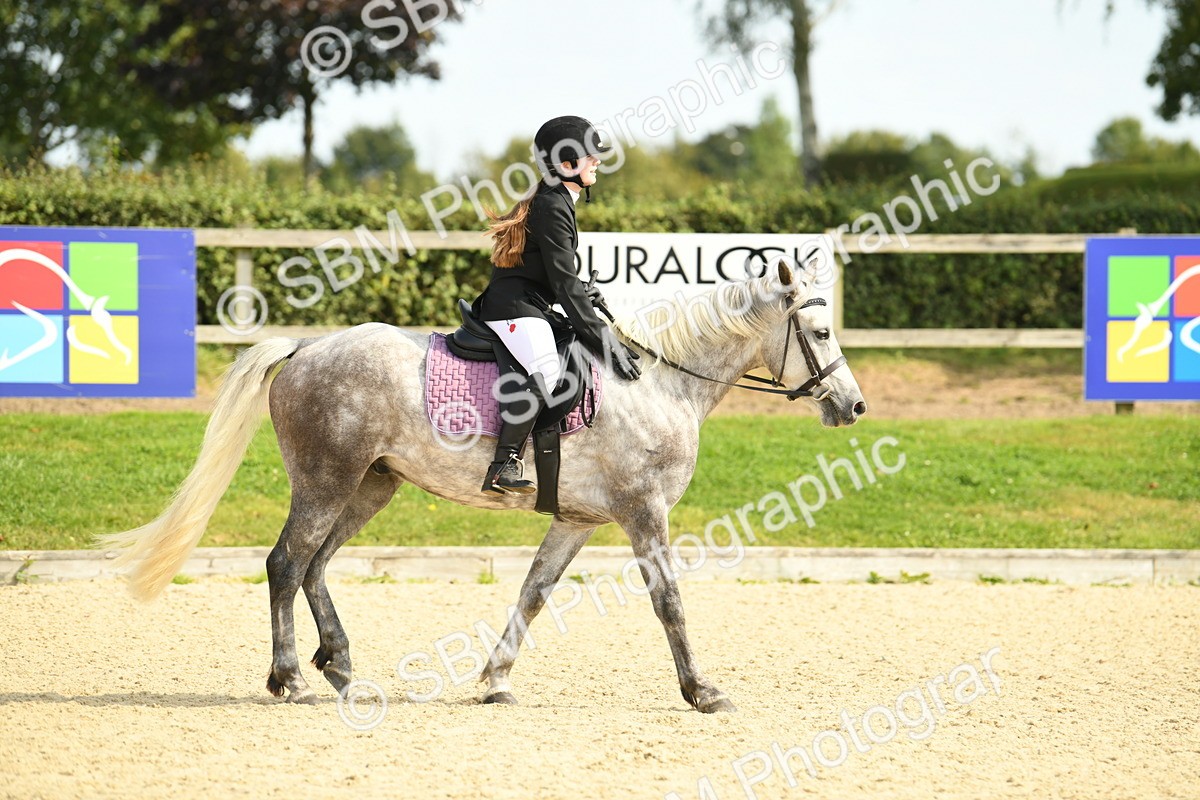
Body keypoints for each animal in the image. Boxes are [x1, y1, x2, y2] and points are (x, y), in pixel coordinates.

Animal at [99, 255, 866, 713]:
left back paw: (340, 667)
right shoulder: (643, 512)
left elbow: (533, 593)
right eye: (822, 332)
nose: (854, 406)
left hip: (370, 486)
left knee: (315, 565)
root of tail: (307, 347)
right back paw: (288, 676)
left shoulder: (579, 520)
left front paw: (496, 679)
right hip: (327, 480)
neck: (657, 381)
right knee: (287, 563)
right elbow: (669, 603)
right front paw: (701, 690)